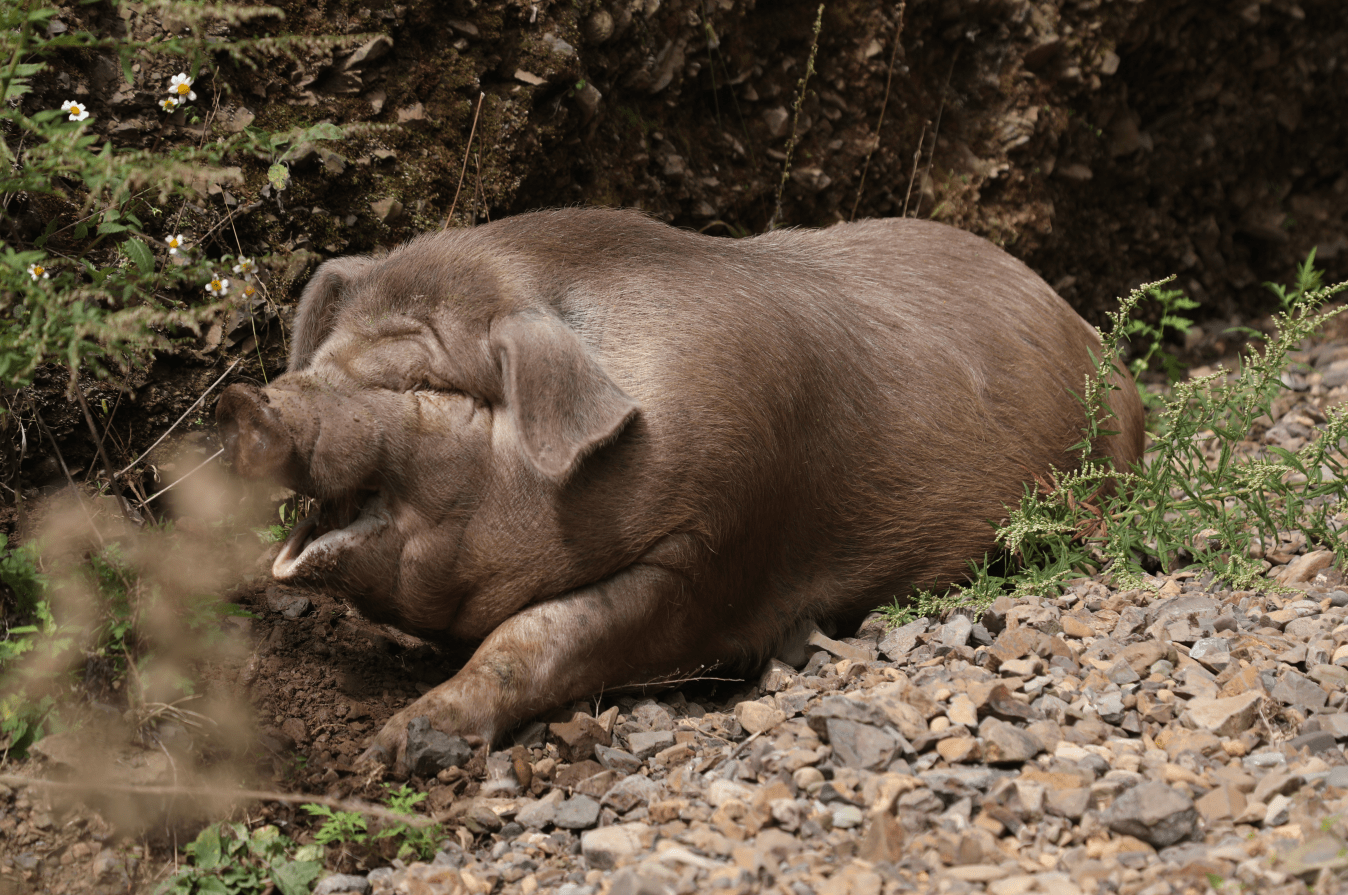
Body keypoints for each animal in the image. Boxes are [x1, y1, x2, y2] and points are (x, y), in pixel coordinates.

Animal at [215, 206, 1143, 765]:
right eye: (325, 356)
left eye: (426, 383)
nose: (251, 402)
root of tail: (1102, 346)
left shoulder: (714, 549)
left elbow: (539, 633)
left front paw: (392, 746)